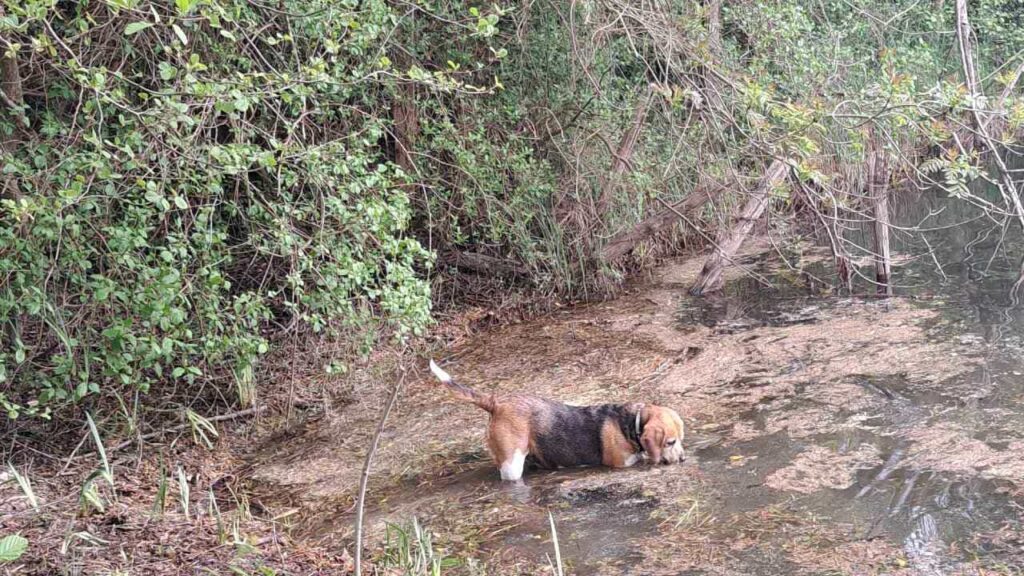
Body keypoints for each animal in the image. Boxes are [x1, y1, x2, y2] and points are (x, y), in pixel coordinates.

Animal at [428, 358, 684, 479]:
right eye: (670, 442)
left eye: (681, 439)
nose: (683, 459)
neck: (630, 422)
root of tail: (497, 403)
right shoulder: (622, 463)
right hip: (512, 464)